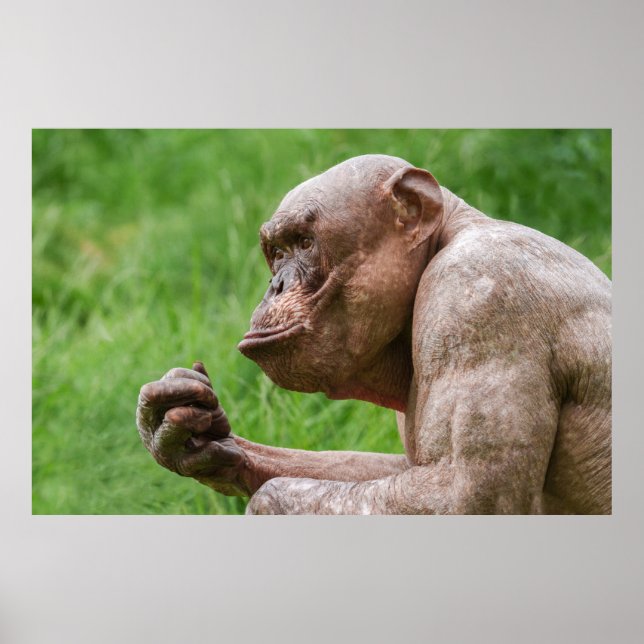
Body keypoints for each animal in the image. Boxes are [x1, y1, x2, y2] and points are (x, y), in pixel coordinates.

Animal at [136, 154, 611, 514]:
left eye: (305, 242)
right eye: (277, 251)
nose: (277, 285)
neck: (442, 242)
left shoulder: (479, 300)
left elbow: (465, 493)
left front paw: (268, 502)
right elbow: (399, 473)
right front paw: (192, 433)